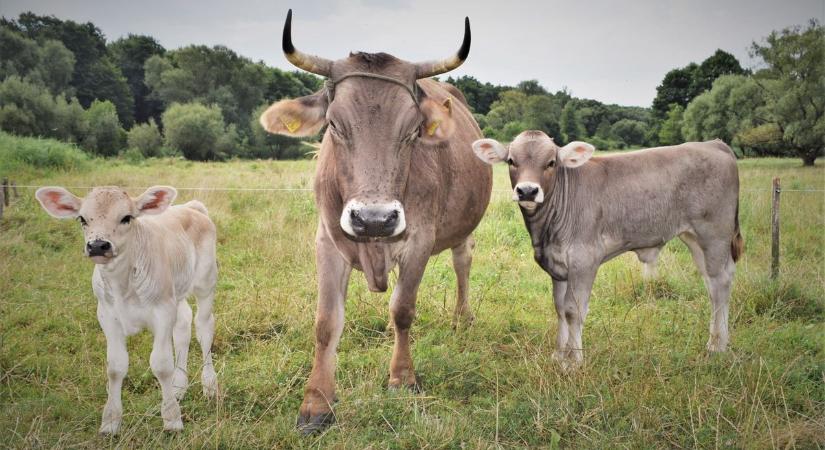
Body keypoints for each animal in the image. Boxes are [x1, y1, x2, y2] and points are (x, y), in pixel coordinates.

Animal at [35, 185, 219, 434]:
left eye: (126, 218)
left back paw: (209, 385)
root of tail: (191, 207)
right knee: (183, 325)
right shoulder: (107, 315)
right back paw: (178, 387)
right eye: (82, 218)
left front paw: (172, 419)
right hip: (177, 290)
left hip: (205, 282)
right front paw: (110, 422)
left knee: (203, 327)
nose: (98, 245)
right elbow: (115, 366)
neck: (122, 284)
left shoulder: (162, 311)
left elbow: (161, 364)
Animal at [260, 9, 490, 432]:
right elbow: (326, 322)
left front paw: (402, 378)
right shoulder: (327, 241)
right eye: (334, 125)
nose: (374, 220)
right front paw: (316, 403)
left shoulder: (419, 240)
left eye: (413, 130)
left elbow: (403, 310)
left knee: (462, 260)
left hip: (464, 227)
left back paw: (461, 317)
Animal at [470, 130, 740, 370]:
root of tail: (714, 144)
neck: (545, 233)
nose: (527, 191)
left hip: (714, 233)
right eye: (511, 161)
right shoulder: (558, 266)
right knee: (711, 284)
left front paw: (573, 362)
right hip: (694, 239)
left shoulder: (583, 260)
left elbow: (573, 310)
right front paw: (559, 355)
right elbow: (559, 308)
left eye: (551, 162)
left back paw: (716, 347)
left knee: (721, 282)